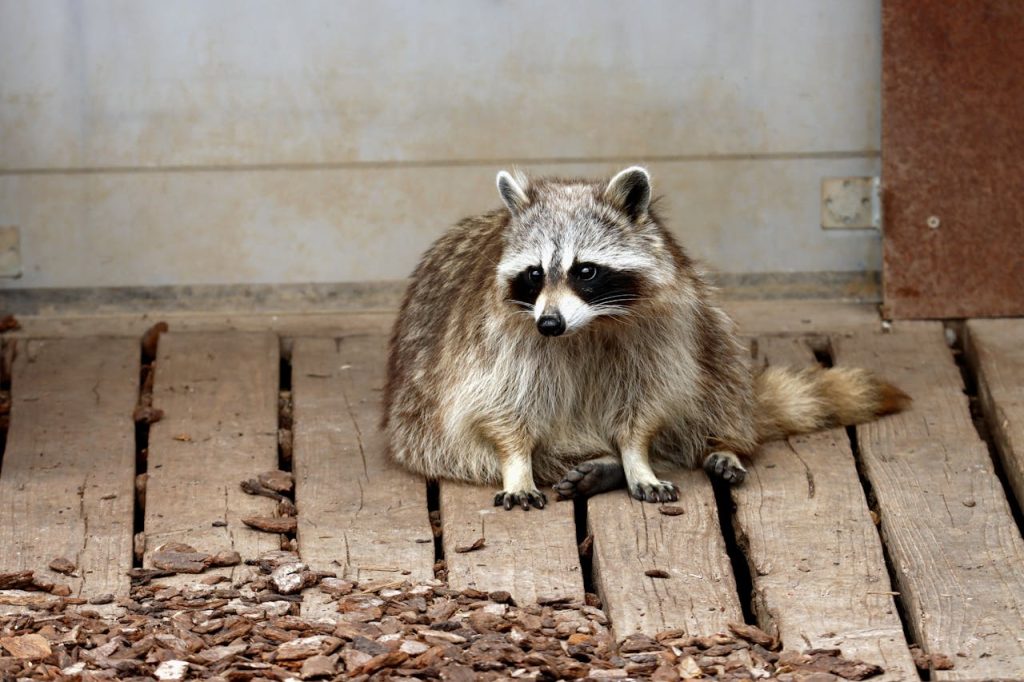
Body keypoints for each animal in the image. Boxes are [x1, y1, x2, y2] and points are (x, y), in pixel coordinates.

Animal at [383, 167, 909, 510]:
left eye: (585, 271)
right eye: (534, 274)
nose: (549, 325)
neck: (587, 327)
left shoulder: (664, 327)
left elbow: (648, 399)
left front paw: (636, 457)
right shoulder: (496, 341)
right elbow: (501, 405)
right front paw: (517, 463)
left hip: (706, 321)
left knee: (721, 366)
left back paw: (719, 443)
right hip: (418, 421)